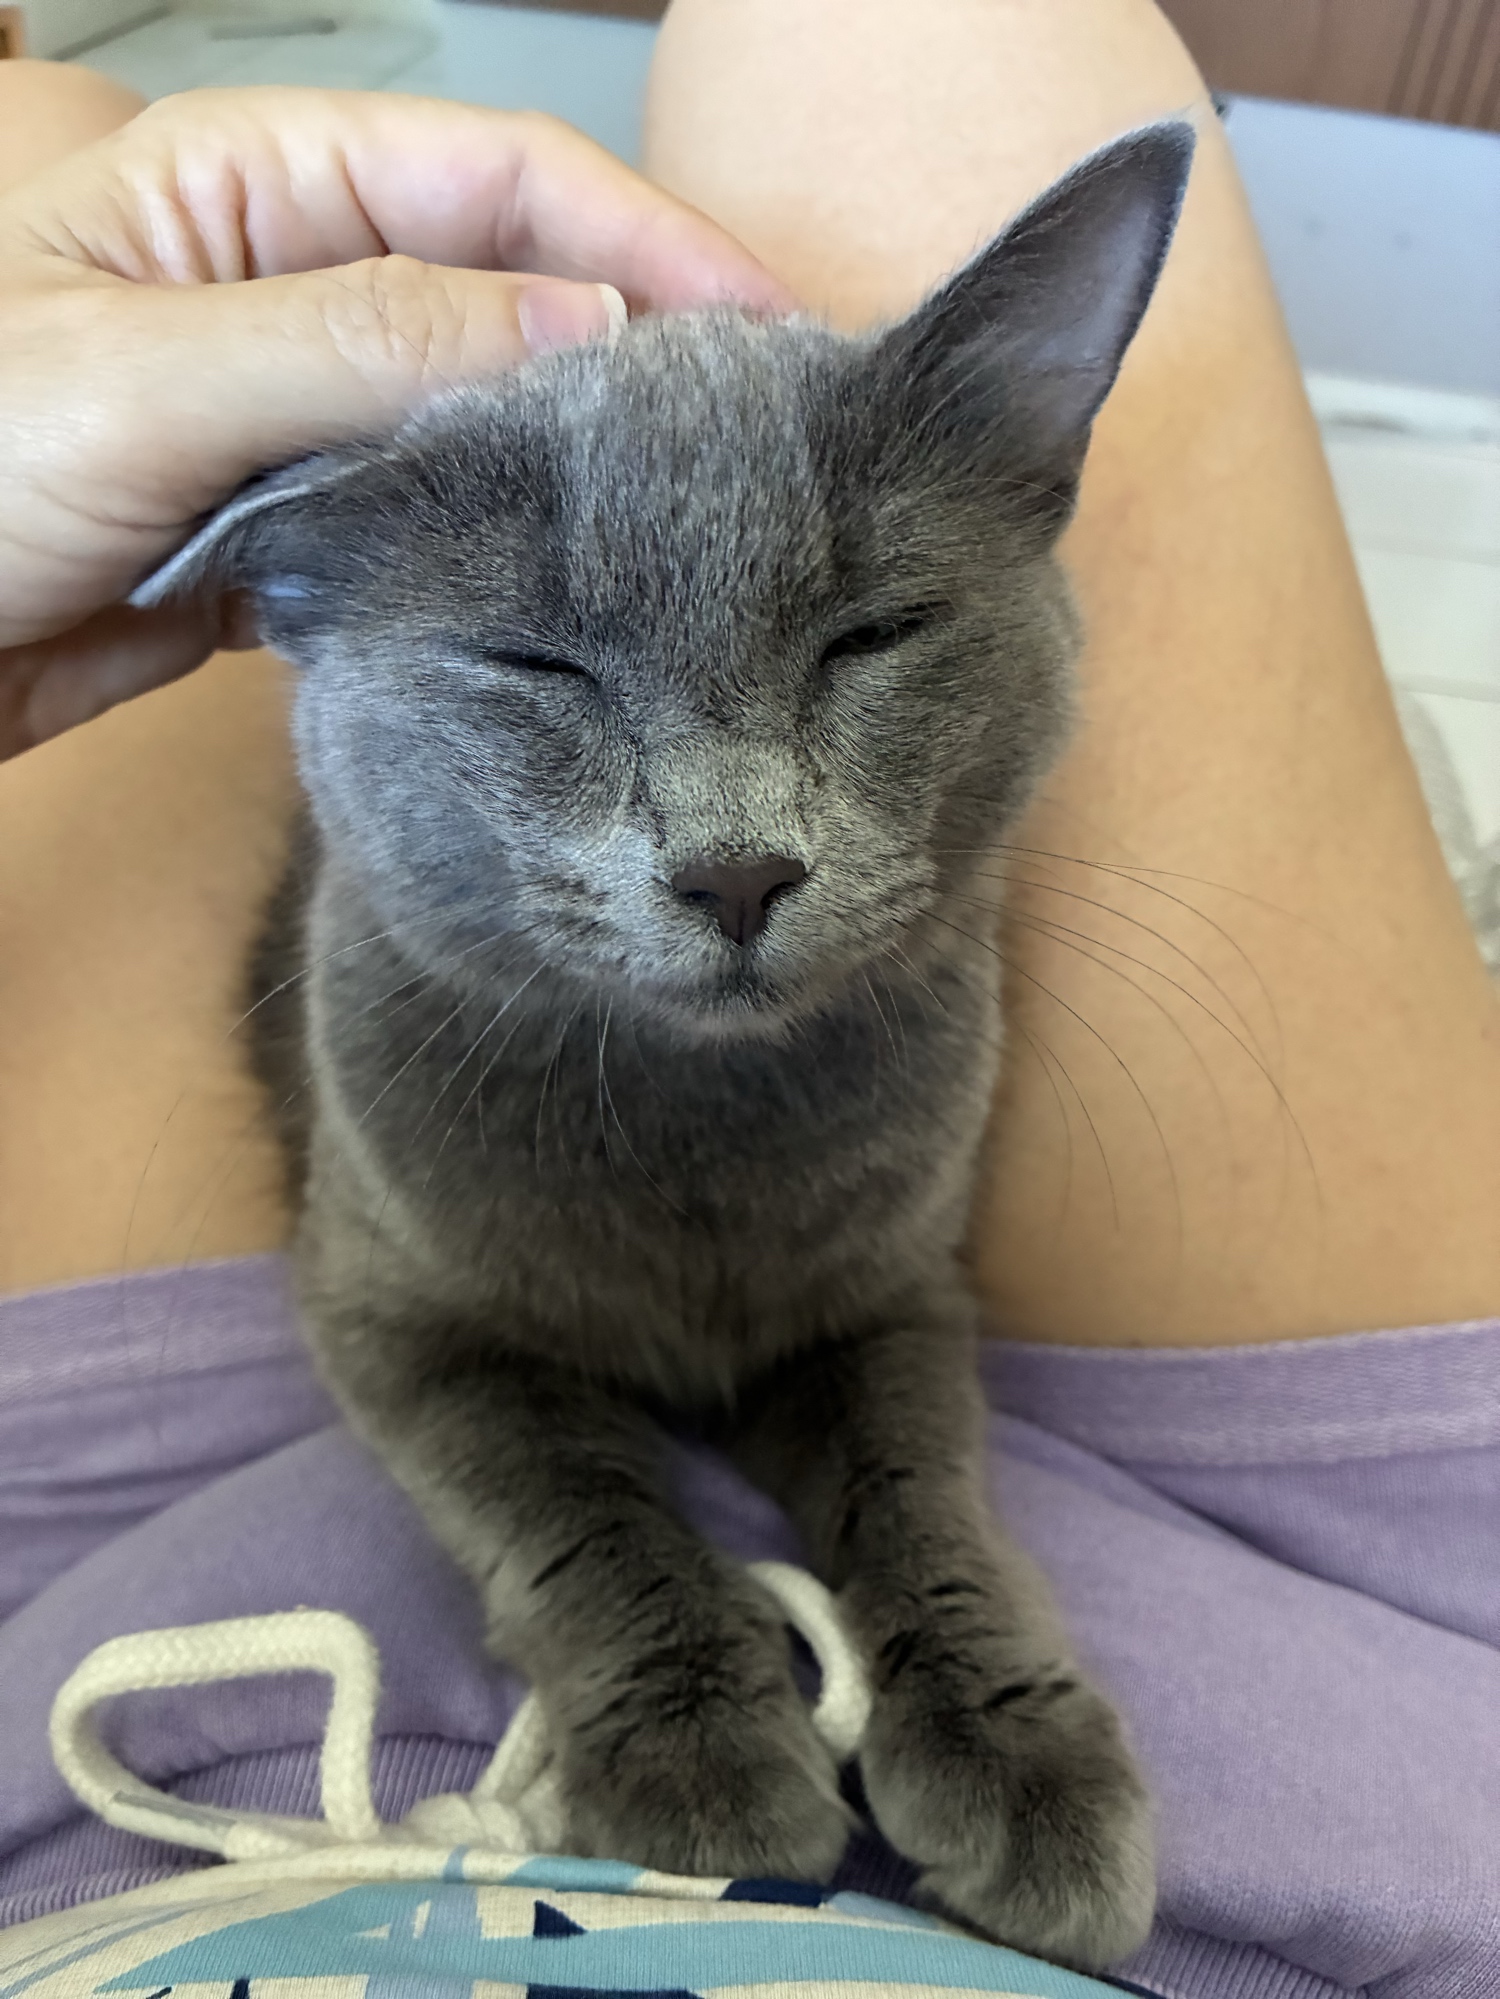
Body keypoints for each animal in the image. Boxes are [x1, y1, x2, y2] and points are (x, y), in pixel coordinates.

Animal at [137, 121, 1194, 1971]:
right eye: (537, 664)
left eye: (872, 634)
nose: (738, 864)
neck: (695, 1137)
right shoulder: (393, 1307)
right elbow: (572, 1493)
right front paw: (702, 1754)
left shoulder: (893, 1286)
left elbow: (923, 1484)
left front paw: (1019, 1753)